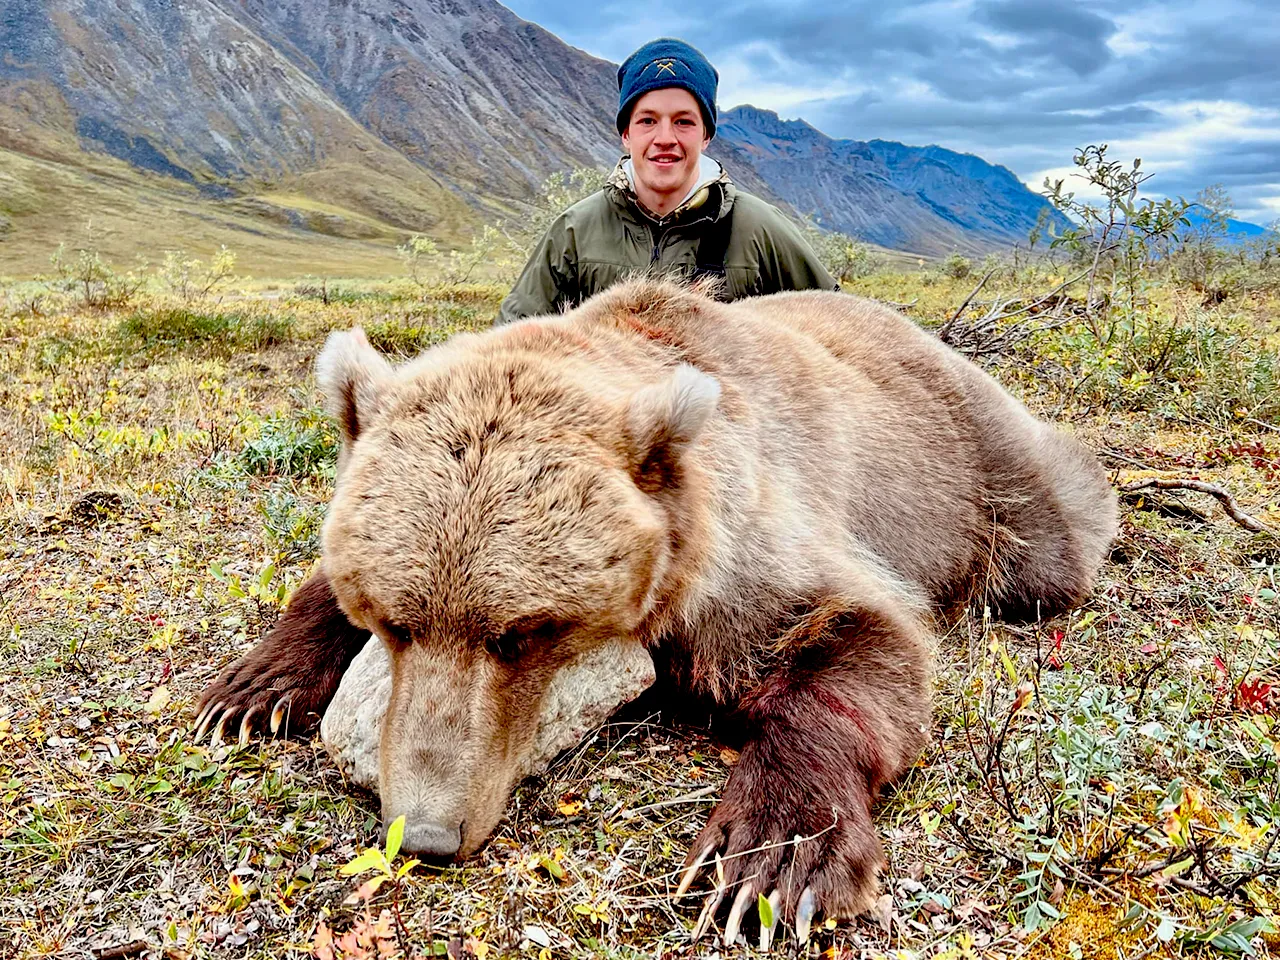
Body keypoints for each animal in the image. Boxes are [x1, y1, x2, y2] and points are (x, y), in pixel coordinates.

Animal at [196, 278, 1117, 945]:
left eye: (521, 634)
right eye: (395, 622)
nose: (425, 835)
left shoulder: (751, 545)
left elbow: (857, 635)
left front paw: (766, 861)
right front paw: (249, 692)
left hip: (973, 469)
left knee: (1044, 547)